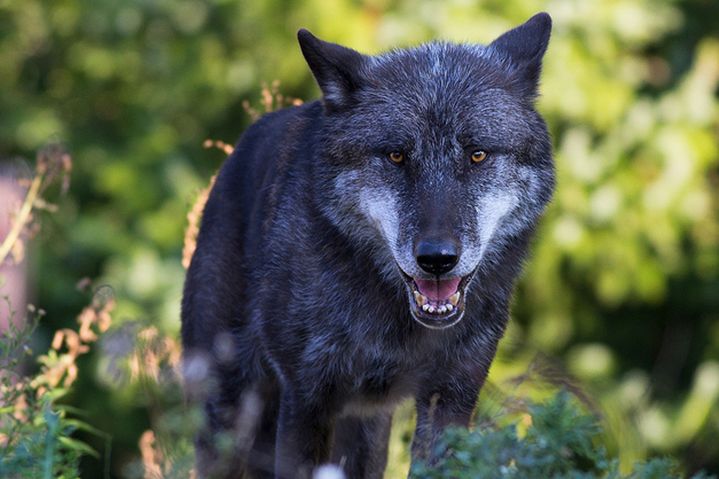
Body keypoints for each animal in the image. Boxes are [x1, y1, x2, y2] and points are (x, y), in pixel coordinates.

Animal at [181, 12, 554, 479]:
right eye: (396, 156)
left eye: (478, 155)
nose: (436, 259)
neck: (393, 328)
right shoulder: (305, 398)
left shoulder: (452, 398)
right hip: (227, 419)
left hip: (366, 435)